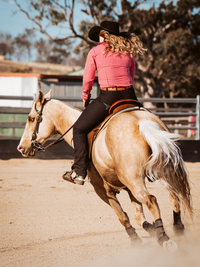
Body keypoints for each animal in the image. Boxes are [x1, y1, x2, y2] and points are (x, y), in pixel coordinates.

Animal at [18, 91, 193, 252]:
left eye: (31, 118)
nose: (21, 147)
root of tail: (142, 122)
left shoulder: (103, 190)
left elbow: (123, 216)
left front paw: (136, 240)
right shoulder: (128, 189)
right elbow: (138, 216)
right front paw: (152, 231)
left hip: (135, 180)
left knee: (151, 200)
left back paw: (165, 239)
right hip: (163, 173)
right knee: (174, 196)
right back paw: (178, 229)